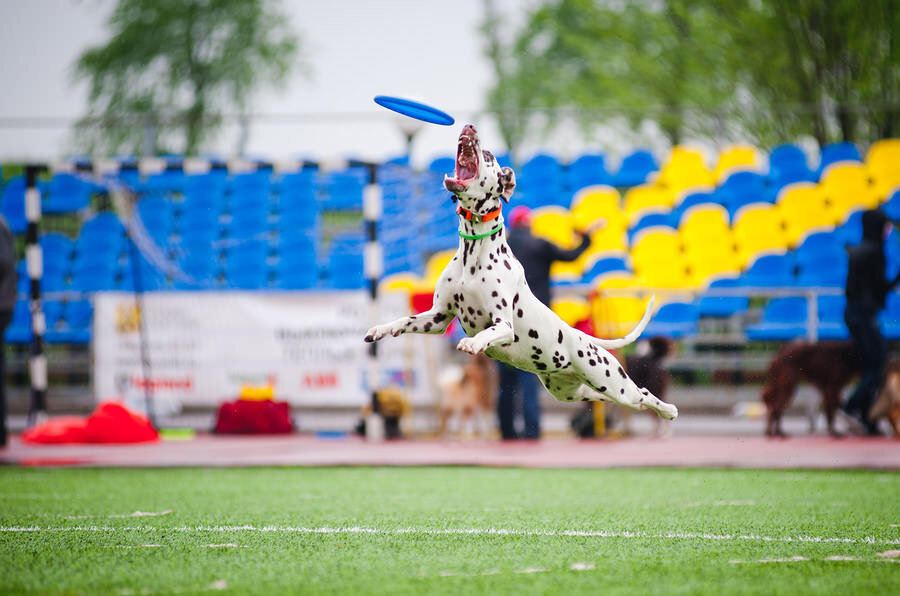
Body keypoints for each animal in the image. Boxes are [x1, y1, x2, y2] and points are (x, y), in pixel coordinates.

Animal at [362, 125, 680, 422]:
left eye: (489, 155)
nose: (469, 128)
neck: (473, 253)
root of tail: (581, 336)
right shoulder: (438, 317)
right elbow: (406, 319)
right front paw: (381, 329)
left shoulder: (502, 324)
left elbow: (488, 332)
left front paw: (472, 342)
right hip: (574, 391)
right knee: (618, 399)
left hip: (613, 383)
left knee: (644, 393)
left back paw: (669, 410)